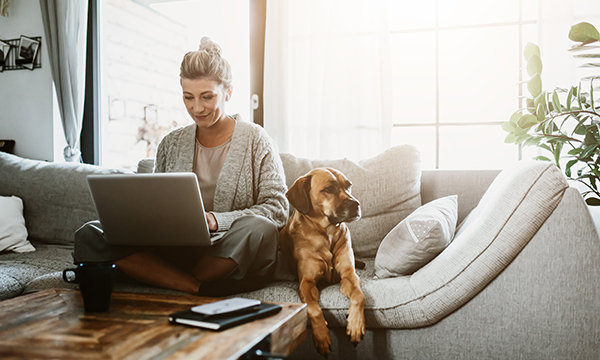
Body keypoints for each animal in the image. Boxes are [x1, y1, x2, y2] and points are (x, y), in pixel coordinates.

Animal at [280, 167, 366, 356]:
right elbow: (313, 309)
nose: (356, 204)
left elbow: (359, 295)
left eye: (348, 185)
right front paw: (321, 336)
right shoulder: (306, 283)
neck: (327, 232)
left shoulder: (349, 275)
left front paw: (355, 325)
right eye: (329, 189)